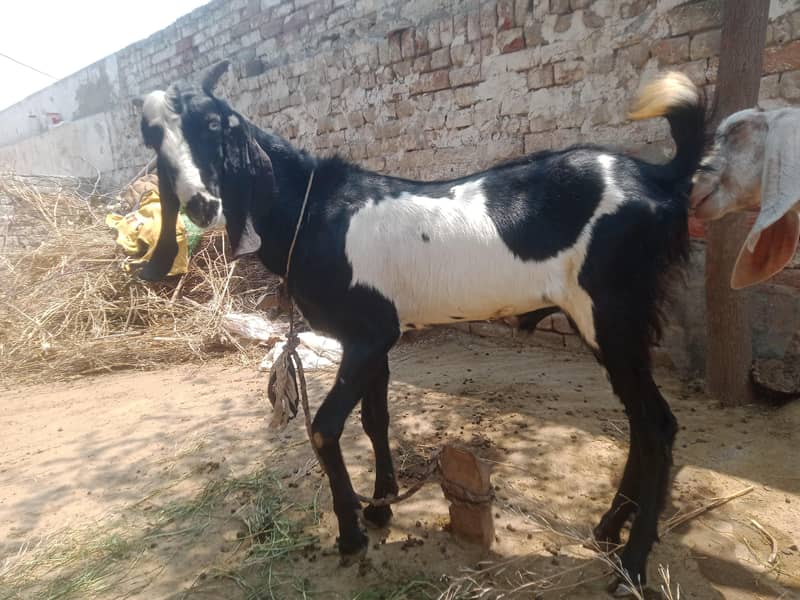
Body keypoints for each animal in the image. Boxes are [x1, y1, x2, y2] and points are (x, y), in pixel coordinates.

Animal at [137, 62, 706, 591]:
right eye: (152, 136)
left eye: (213, 124)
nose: (201, 204)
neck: (311, 211)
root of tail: (659, 178)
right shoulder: (374, 340)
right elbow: (375, 420)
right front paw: (381, 506)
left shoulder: (368, 335)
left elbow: (324, 428)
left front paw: (351, 534)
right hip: (607, 325)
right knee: (640, 424)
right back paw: (608, 528)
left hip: (613, 313)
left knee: (658, 425)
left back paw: (632, 565)